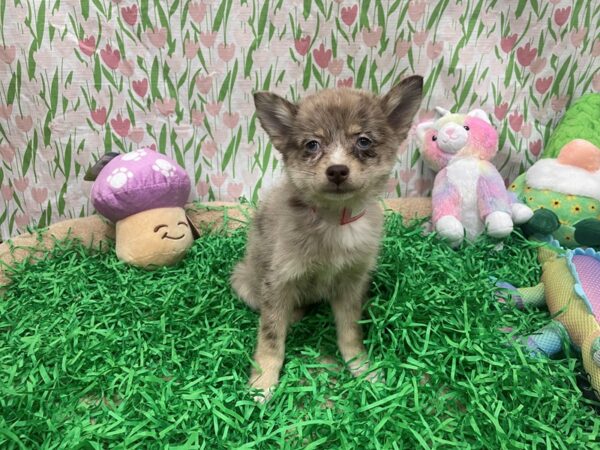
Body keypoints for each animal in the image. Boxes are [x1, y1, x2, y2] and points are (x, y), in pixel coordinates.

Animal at [230, 74, 422, 400]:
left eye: (363, 141)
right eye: (312, 144)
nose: (337, 170)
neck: (334, 222)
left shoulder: (352, 283)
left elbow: (351, 332)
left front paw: (361, 368)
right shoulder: (278, 282)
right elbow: (270, 336)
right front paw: (263, 381)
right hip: (244, 281)